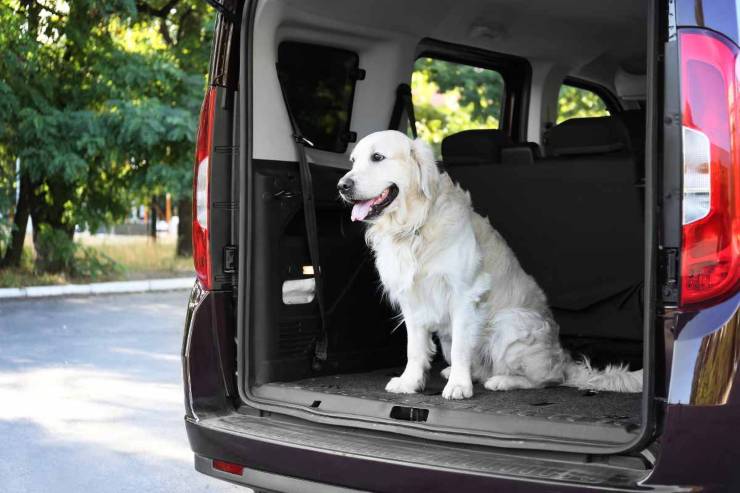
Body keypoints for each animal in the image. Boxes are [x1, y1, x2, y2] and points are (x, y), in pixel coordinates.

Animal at [336, 131, 640, 400]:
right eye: (353, 160)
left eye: (377, 157)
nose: (342, 186)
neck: (415, 227)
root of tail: (562, 360)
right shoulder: (411, 299)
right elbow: (415, 348)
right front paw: (410, 382)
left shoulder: (464, 294)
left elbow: (461, 347)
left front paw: (459, 387)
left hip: (510, 323)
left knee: (545, 379)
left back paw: (501, 380)